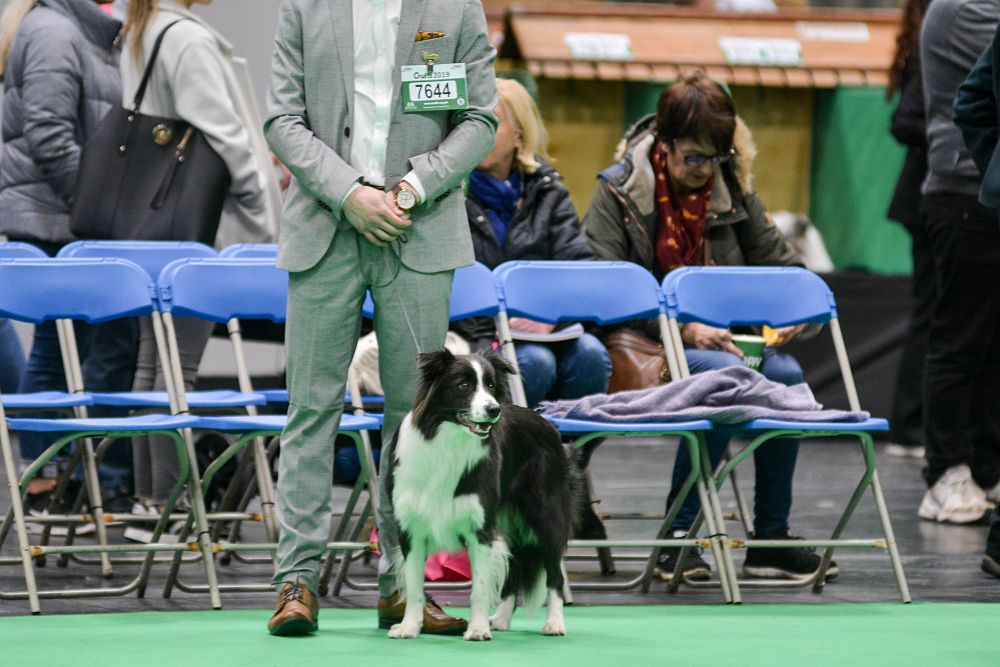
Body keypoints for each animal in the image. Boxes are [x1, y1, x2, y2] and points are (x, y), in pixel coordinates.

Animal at [386, 352, 584, 640]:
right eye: (463, 385)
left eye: (491, 386)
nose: (494, 409)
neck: (447, 442)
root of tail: (547, 423)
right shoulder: (411, 528)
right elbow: (414, 587)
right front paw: (410, 626)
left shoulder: (480, 530)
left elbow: (478, 587)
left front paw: (477, 629)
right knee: (515, 569)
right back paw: (501, 619)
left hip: (547, 515)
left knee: (555, 576)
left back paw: (554, 623)